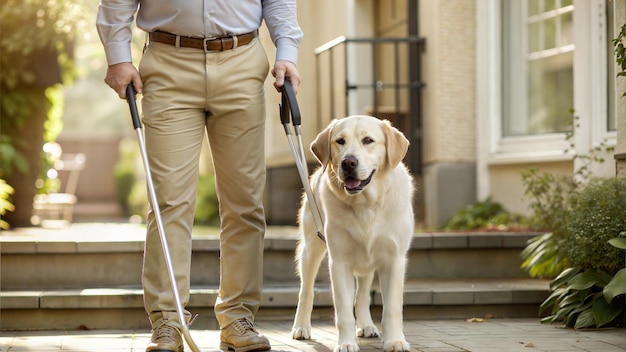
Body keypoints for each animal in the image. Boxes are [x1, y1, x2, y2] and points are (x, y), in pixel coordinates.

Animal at [290, 116, 412, 352]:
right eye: (340, 141)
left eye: (368, 140)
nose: (349, 163)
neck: (366, 205)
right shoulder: (339, 262)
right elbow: (344, 311)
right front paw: (346, 343)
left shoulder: (394, 259)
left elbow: (392, 308)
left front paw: (394, 340)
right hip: (310, 249)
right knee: (305, 291)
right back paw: (301, 327)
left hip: (368, 260)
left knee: (363, 294)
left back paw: (366, 325)